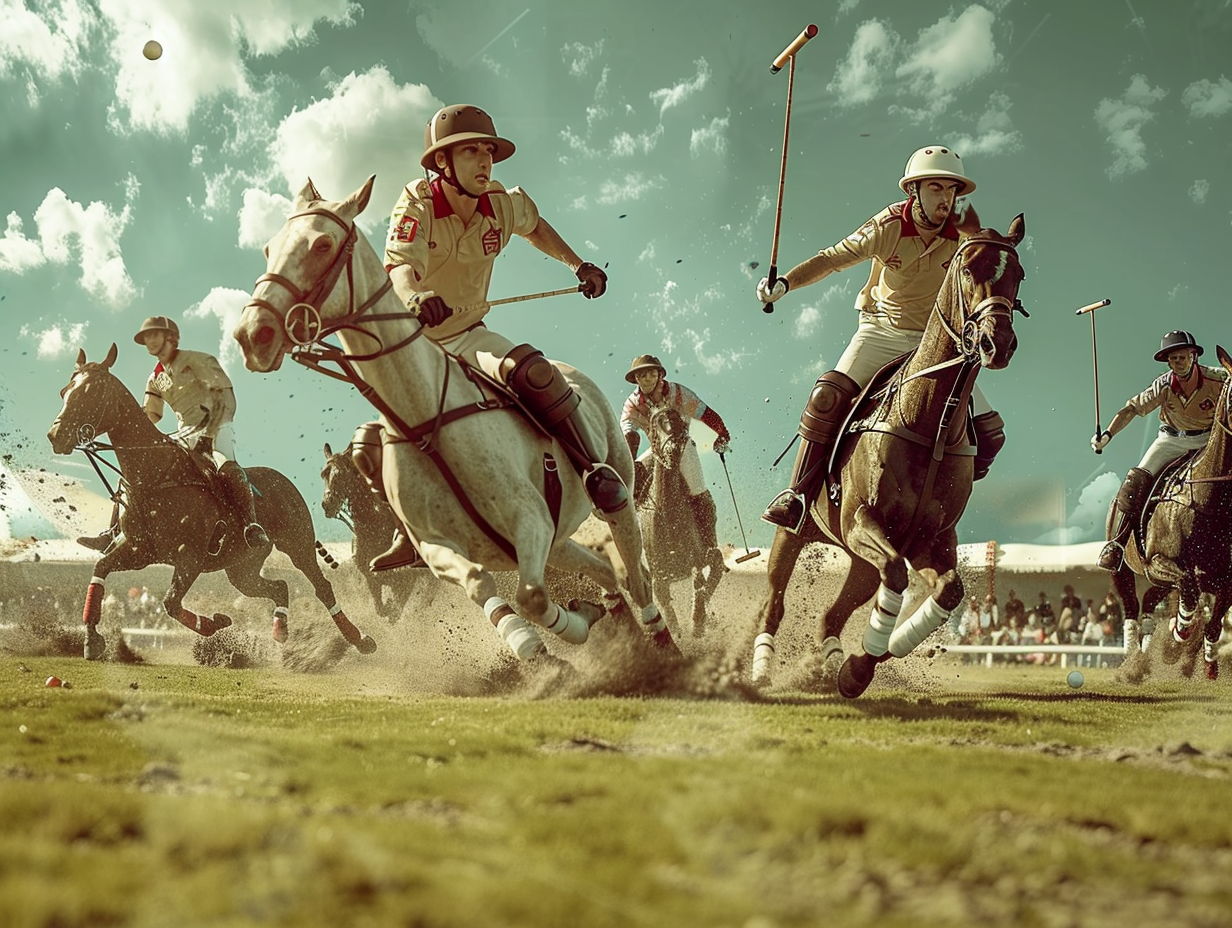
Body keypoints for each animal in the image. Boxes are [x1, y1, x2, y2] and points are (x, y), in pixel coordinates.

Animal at [46, 342, 374, 660]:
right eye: (63, 392)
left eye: (92, 392)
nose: (55, 435)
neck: (154, 475)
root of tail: (284, 481)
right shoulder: (140, 551)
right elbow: (100, 569)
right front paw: (91, 640)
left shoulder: (189, 556)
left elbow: (170, 603)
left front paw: (215, 623)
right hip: (241, 568)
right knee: (279, 587)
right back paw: (280, 630)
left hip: (298, 544)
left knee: (322, 587)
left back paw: (360, 640)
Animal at [320, 438, 421, 623]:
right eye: (323, 474)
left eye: (342, 474)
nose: (327, 504)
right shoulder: (371, 580)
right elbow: (381, 609)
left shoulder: (405, 578)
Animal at [635, 404, 719, 635]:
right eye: (655, 425)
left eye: (679, 422)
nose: (672, 449)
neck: (668, 516)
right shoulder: (659, 577)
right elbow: (664, 604)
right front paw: (676, 631)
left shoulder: (698, 558)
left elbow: (701, 580)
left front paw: (697, 621)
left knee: (716, 565)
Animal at [1108, 345, 1232, 675]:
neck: (1209, 499)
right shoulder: (1158, 560)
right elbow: (1189, 589)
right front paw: (1180, 631)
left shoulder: (1225, 579)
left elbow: (1214, 622)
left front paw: (1209, 664)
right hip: (1124, 569)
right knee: (1131, 607)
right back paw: (1132, 660)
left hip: (1158, 581)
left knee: (1150, 601)